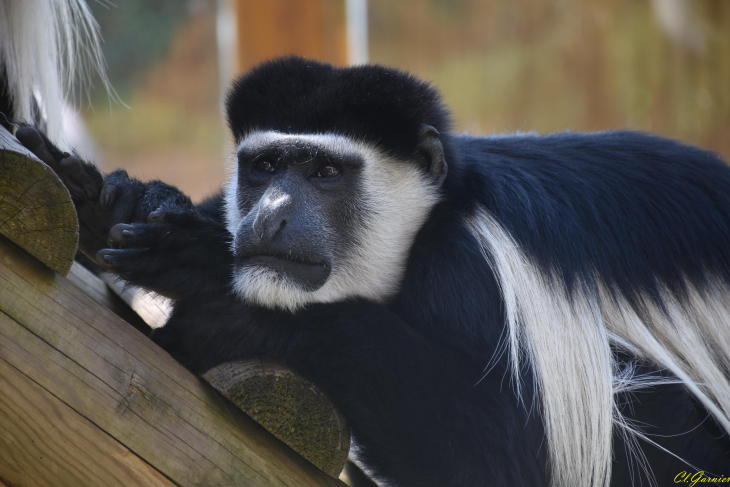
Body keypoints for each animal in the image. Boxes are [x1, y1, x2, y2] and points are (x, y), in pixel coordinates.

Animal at [12, 57, 730, 484]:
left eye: (325, 172)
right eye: (265, 167)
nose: (269, 218)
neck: (439, 212)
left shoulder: (473, 276)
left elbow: (501, 460)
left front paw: (212, 289)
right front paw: (114, 201)